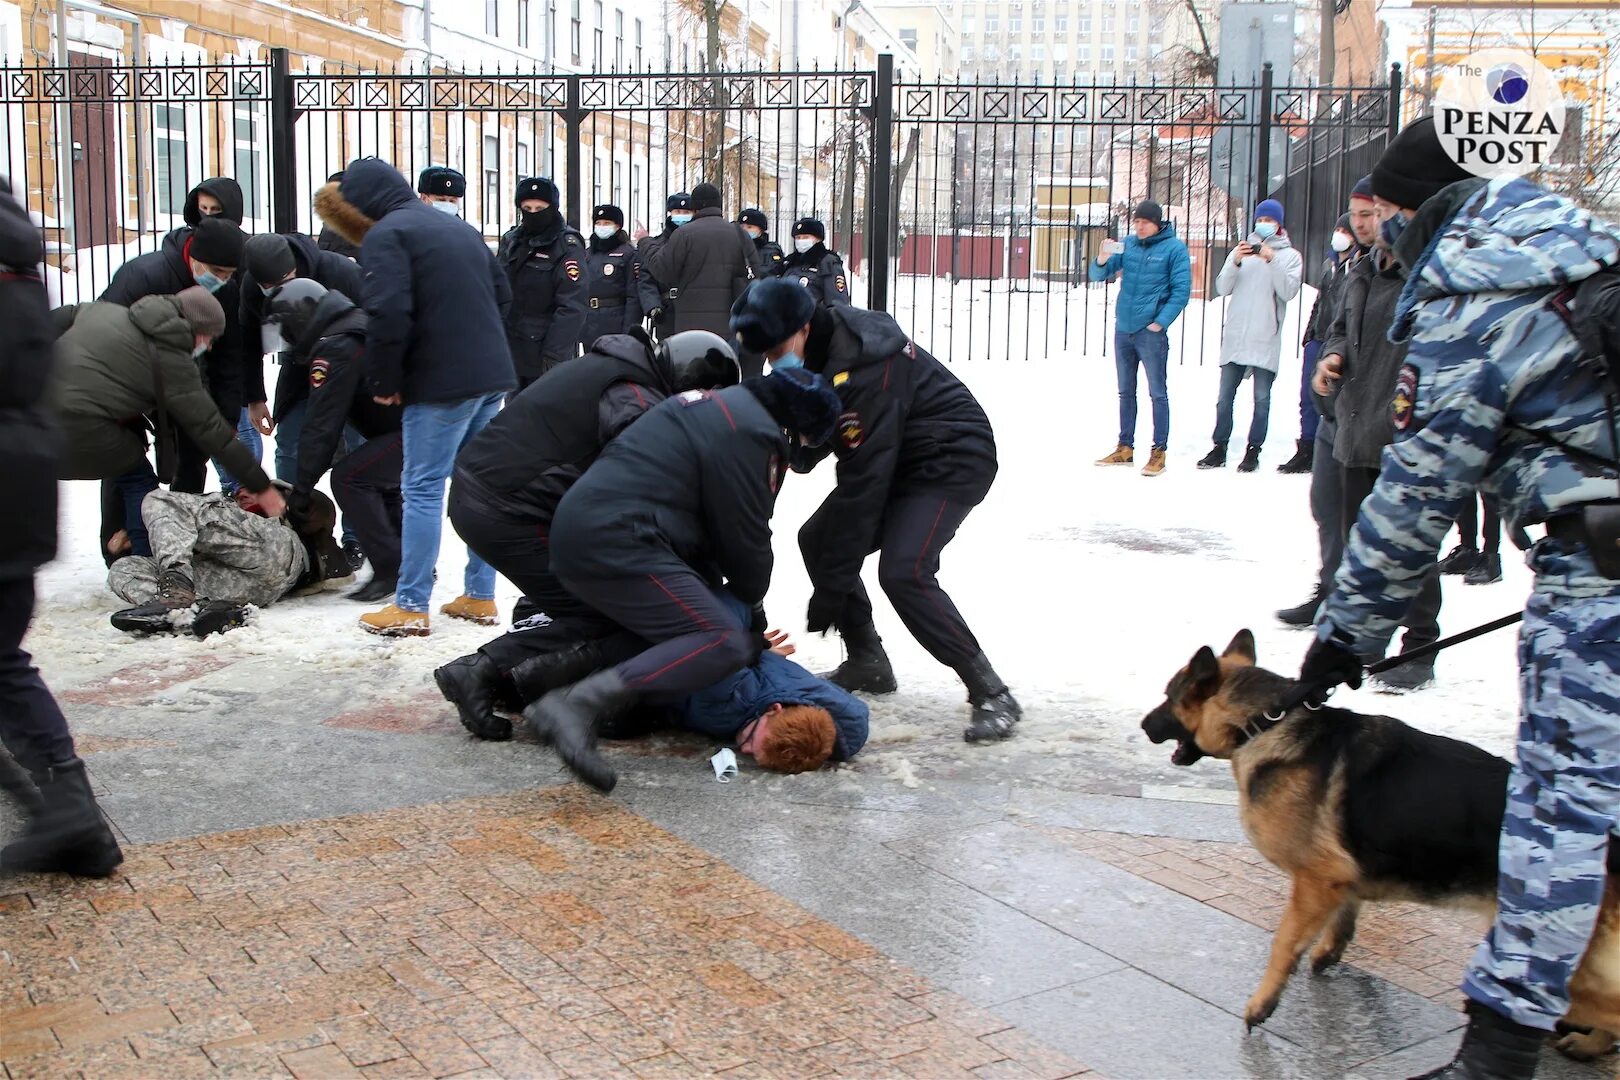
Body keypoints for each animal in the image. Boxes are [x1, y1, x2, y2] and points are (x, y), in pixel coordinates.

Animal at [1140, 628, 1620, 1062]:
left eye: (1168, 696)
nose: (1144, 725)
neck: (1265, 721)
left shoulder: (1315, 880)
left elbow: (1283, 946)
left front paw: (1263, 1005)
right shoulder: (1339, 878)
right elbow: (1343, 919)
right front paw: (1329, 953)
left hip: (1566, 968)